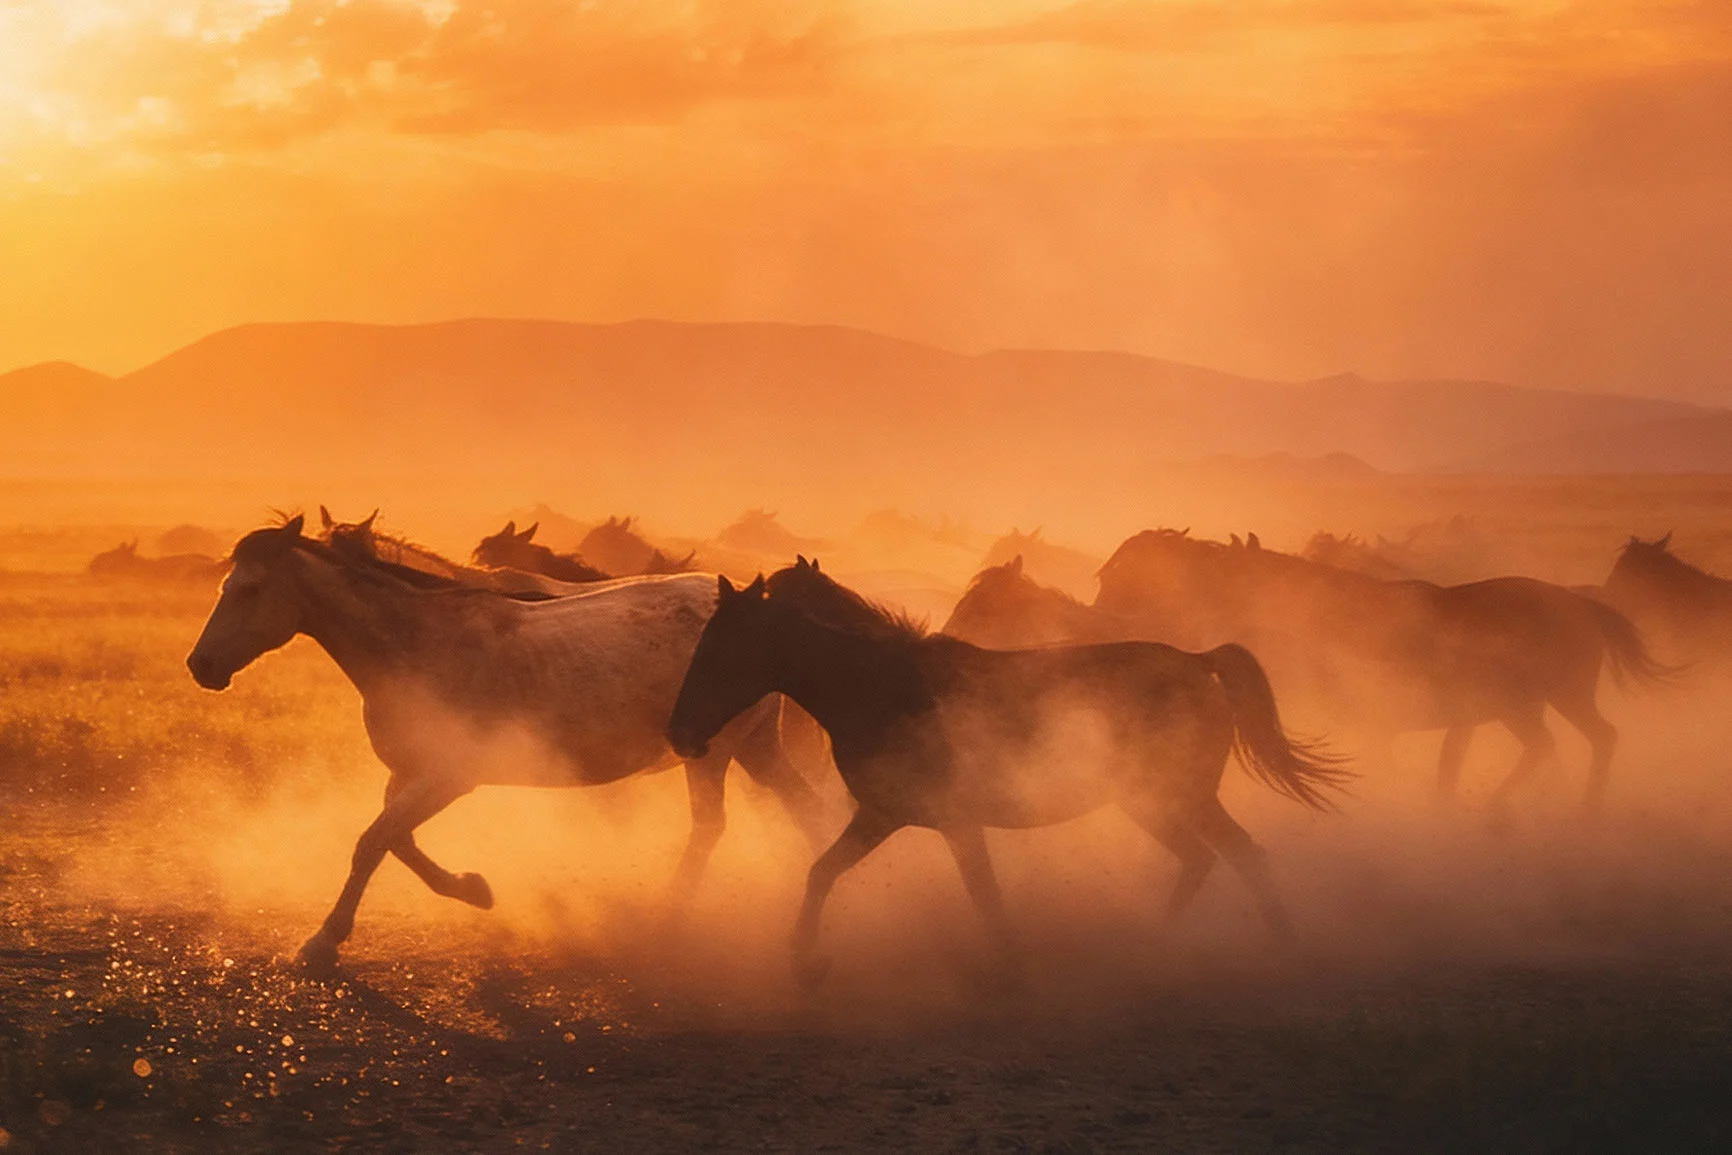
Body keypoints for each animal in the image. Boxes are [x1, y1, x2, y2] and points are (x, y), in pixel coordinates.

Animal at [186, 516, 827, 969]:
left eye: (251, 588)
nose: (201, 665)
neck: (417, 644)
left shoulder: (450, 777)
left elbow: (373, 841)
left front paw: (322, 942)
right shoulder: (409, 773)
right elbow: (398, 841)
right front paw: (474, 889)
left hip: (713, 752)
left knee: (711, 828)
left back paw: (665, 922)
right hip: (757, 746)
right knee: (805, 807)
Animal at [668, 573, 1345, 985]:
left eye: (722, 650)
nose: (679, 734)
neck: (881, 688)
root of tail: (1197, 662)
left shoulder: (952, 822)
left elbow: (985, 897)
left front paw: (1012, 974)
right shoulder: (883, 815)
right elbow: (821, 872)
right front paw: (806, 963)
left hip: (1179, 795)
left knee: (1242, 855)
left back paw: (1281, 951)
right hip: (1149, 802)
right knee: (1205, 858)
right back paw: (1155, 945)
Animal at [1094, 529, 1669, 811]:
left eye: (1220, 569)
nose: (1106, 603)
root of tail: (1581, 605)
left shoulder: (1379, 723)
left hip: (1547, 701)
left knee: (1583, 741)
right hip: (1535, 705)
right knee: (1572, 744)